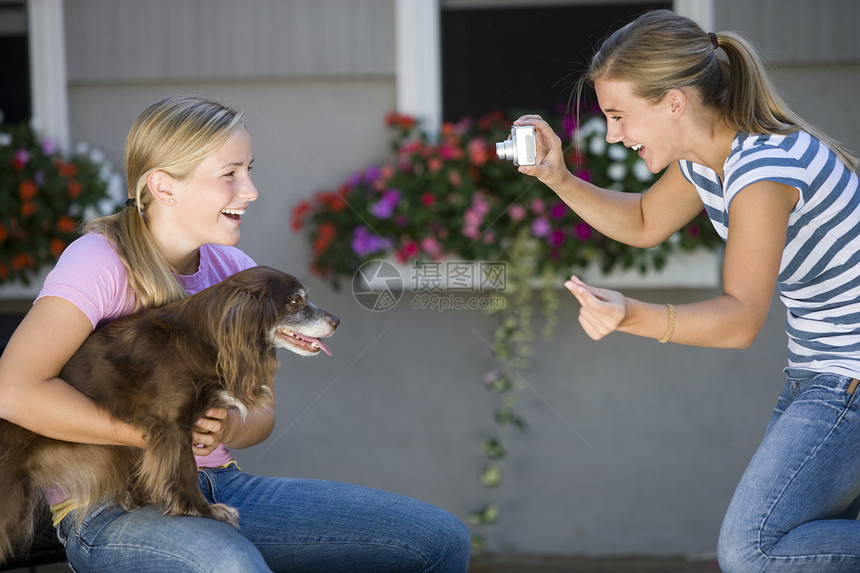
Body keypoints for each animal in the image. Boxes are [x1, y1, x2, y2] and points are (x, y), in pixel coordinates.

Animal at [0, 266, 340, 560]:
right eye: (295, 302)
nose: (336, 321)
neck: (203, 341)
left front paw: (143, 499)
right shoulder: (173, 424)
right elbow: (184, 468)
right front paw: (203, 510)